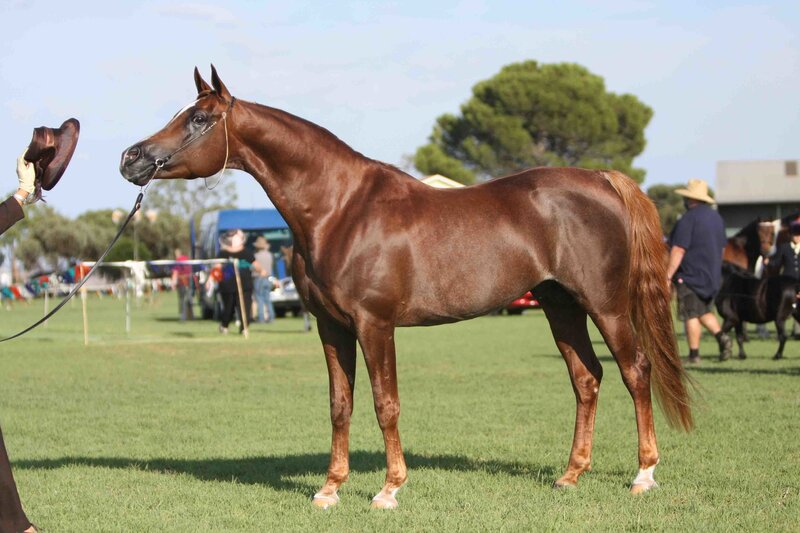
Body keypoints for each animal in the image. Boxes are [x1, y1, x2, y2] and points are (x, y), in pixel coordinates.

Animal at [119, 66, 692, 508]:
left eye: (198, 119)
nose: (132, 158)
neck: (340, 209)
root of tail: (602, 179)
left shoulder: (375, 324)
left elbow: (384, 402)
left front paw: (389, 490)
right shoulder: (331, 327)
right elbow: (340, 404)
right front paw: (329, 489)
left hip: (606, 305)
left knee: (635, 371)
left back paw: (643, 475)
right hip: (560, 305)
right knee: (587, 378)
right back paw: (570, 475)